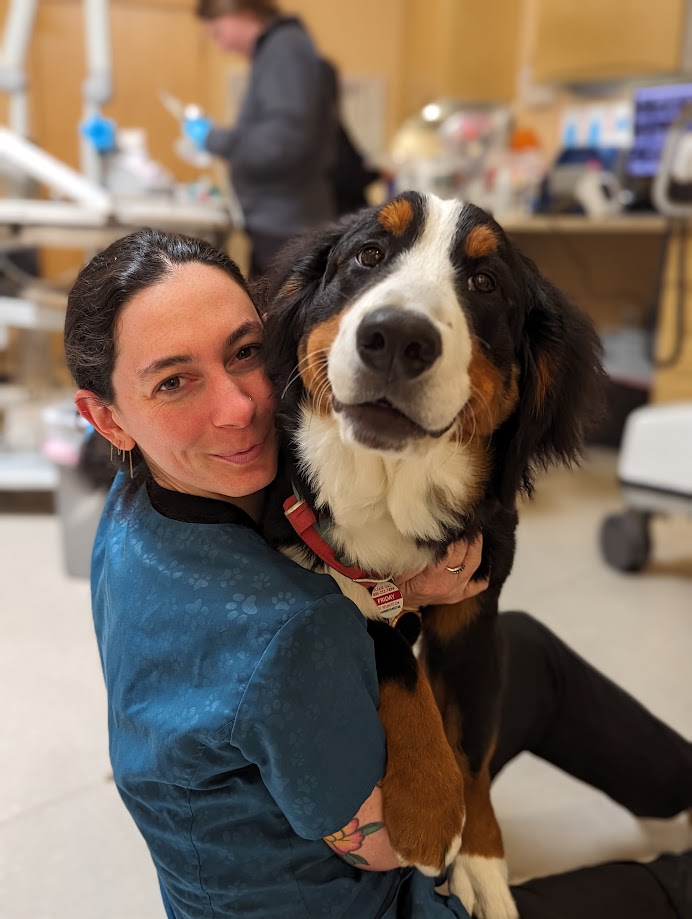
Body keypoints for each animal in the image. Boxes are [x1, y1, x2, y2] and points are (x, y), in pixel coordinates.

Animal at [260, 190, 604, 916]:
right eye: (368, 255)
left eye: (485, 283)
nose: (396, 336)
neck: (393, 489)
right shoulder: (326, 572)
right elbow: (397, 657)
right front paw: (429, 805)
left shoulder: (475, 615)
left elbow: (472, 747)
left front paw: (481, 857)